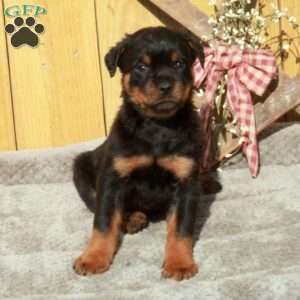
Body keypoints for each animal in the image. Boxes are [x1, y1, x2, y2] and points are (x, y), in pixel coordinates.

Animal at [73, 26, 207, 282]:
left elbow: (181, 228)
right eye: (141, 67)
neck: (158, 125)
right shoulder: (112, 177)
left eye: (179, 63)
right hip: (81, 167)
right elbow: (103, 222)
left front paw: (180, 264)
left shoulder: (186, 180)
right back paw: (132, 218)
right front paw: (93, 258)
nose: (165, 85)